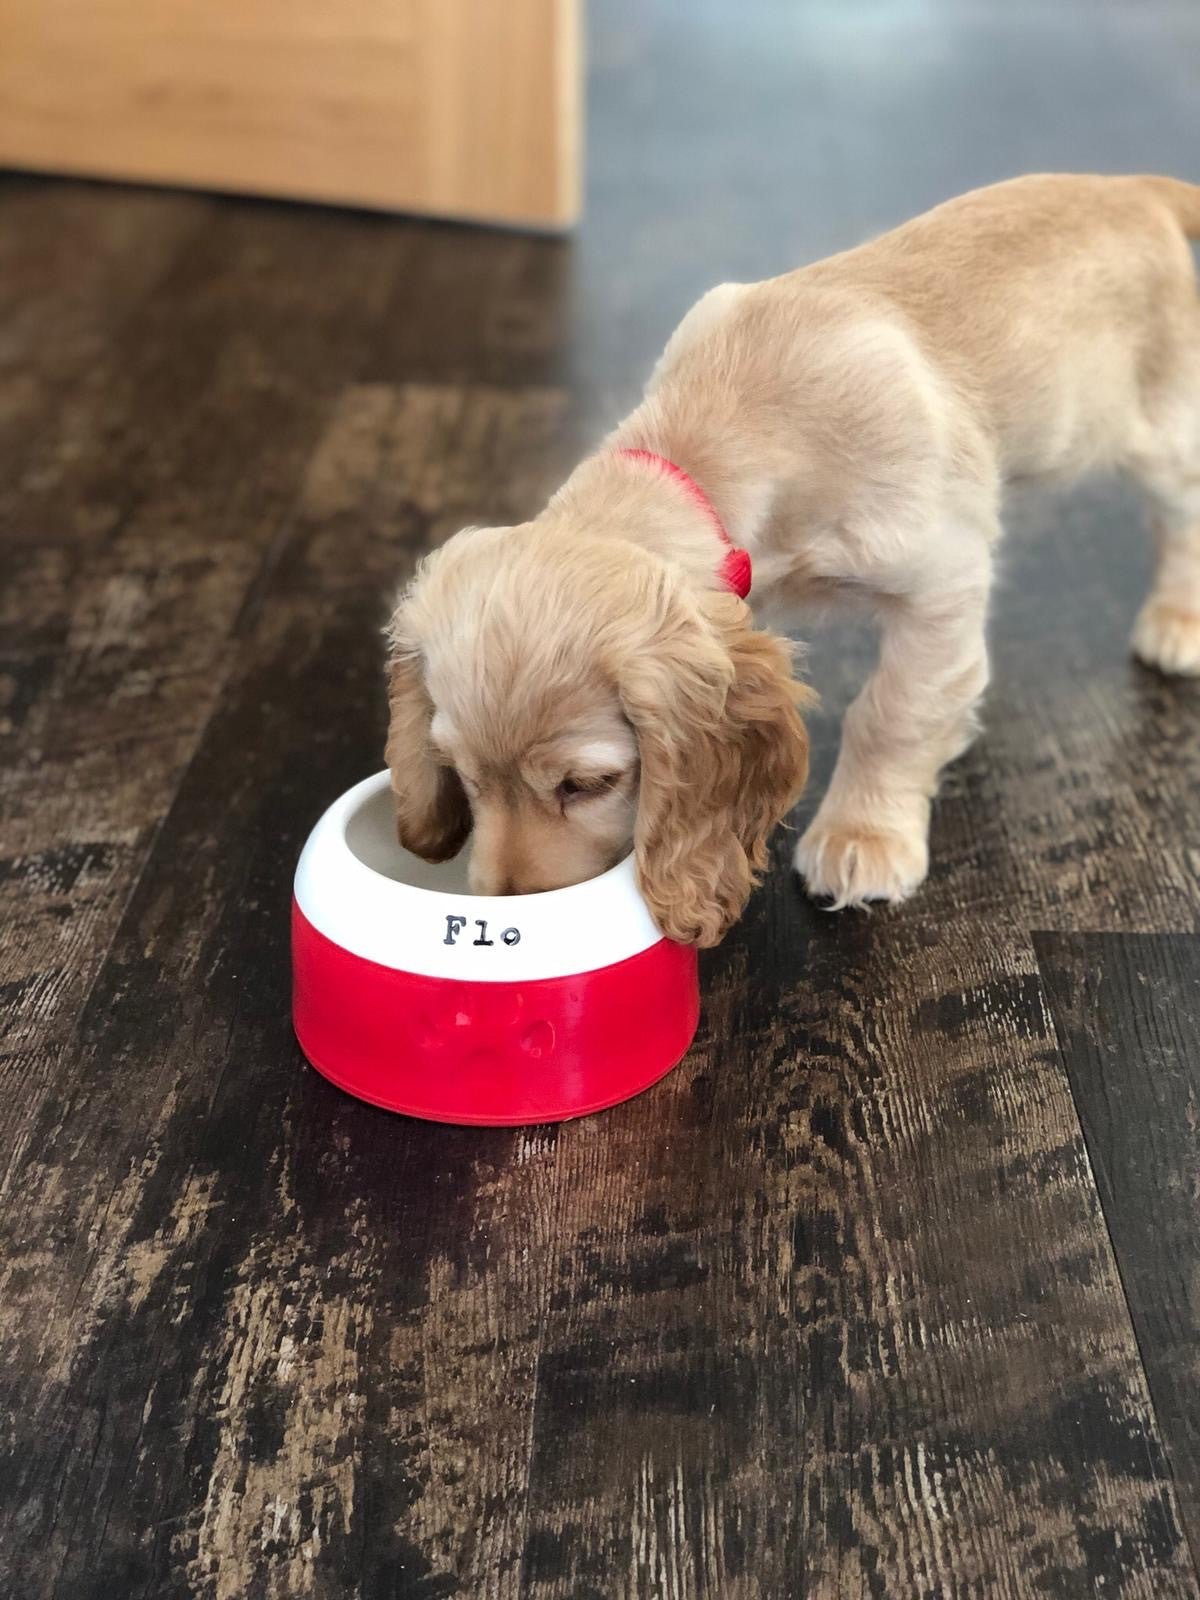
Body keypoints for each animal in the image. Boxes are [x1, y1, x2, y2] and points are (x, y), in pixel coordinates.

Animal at [390, 178, 1200, 934]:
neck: (722, 435)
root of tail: (1130, 188)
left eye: (586, 784)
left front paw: (863, 835)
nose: (506, 915)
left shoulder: (940, 580)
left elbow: (894, 711)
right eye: (459, 774)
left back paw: (1178, 621)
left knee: (1184, 510)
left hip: (1155, 432)